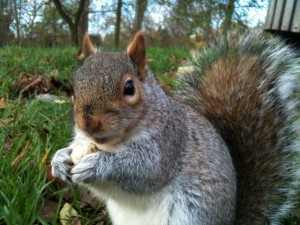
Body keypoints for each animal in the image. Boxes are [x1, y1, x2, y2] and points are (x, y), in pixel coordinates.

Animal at [51, 30, 300, 224]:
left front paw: (98, 165)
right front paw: (59, 160)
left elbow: (146, 171)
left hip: (191, 210)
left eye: (129, 88)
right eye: (74, 88)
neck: (113, 143)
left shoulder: (169, 141)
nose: (88, 123)